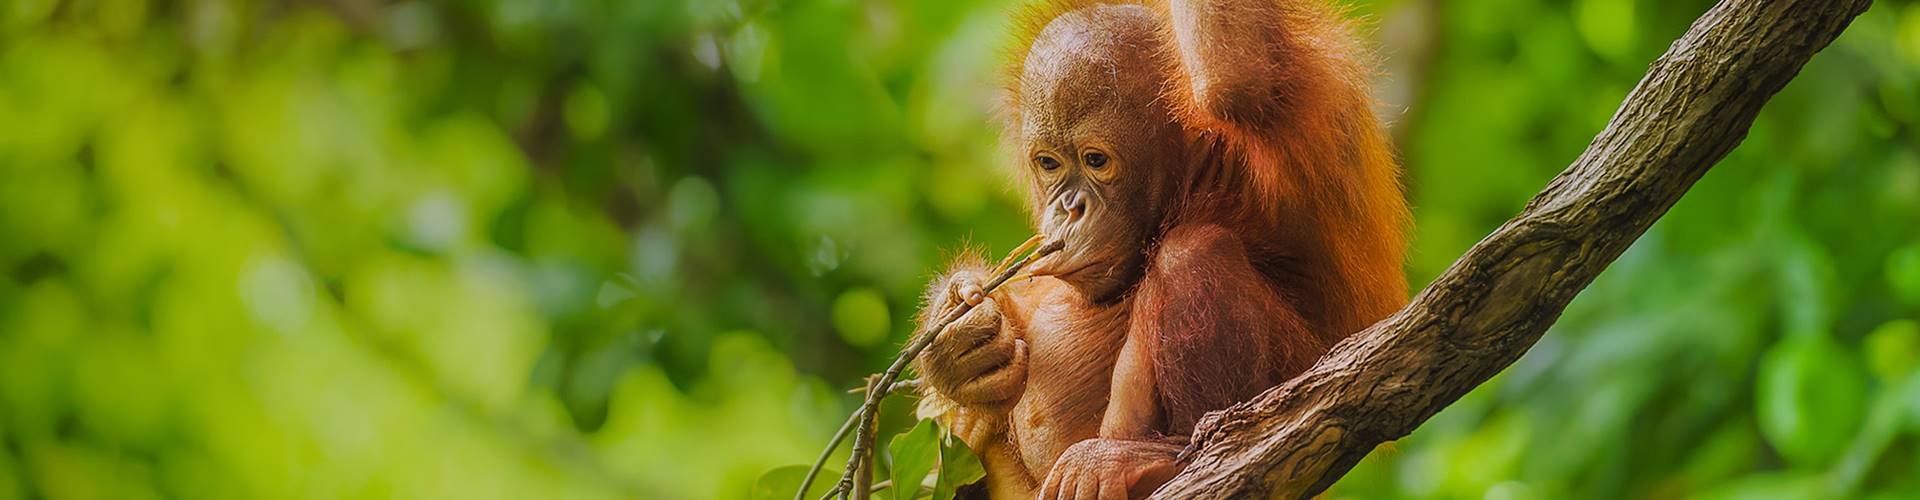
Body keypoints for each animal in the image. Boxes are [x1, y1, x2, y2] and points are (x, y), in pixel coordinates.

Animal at [911, 0, 1408, 498]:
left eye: (1096, 160)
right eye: (1049, 163)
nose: (1068, 209)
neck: (1199, 176)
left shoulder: (1296, 104)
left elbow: (1237, 79)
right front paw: (961, 342)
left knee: (1192, 251)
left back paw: (1168, 456)